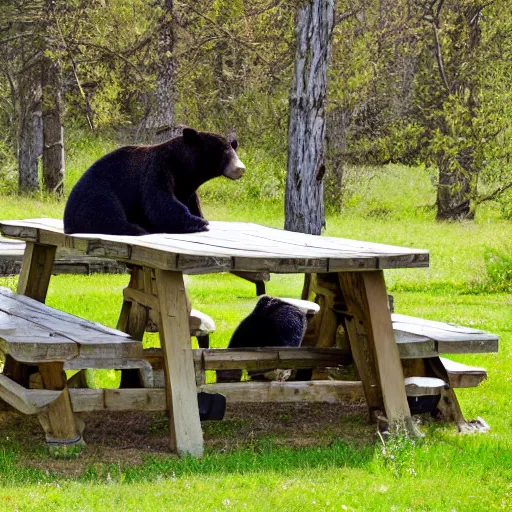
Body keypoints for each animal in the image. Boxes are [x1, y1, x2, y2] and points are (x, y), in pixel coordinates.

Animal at [63, 127, 245, 235]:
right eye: (223, 152)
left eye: (233, 149)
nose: (240, 168)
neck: (180, 165)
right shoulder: (157, 169)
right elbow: (160, 202)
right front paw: (199, 223)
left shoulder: (185, 184)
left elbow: (191, 203)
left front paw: (199, 217)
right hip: (97, 192)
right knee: (105, 210)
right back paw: (136, 228)